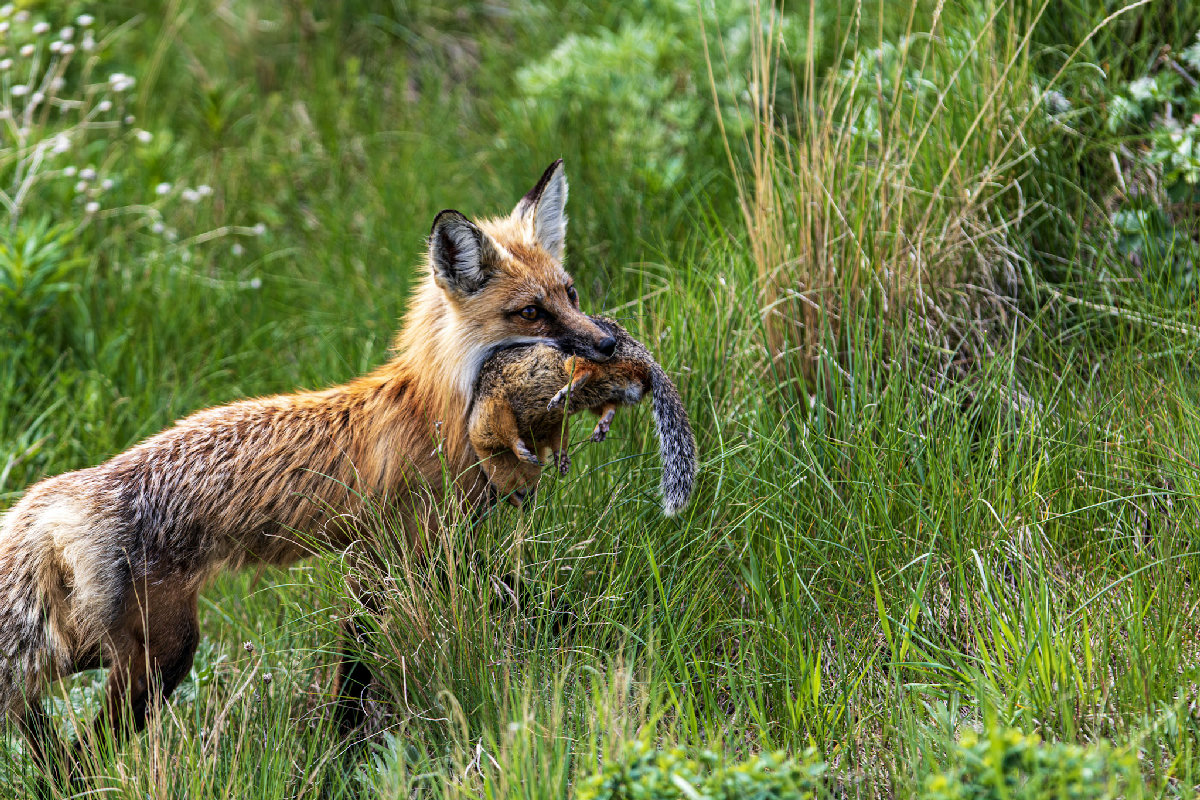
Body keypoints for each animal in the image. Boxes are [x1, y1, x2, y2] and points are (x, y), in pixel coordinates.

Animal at [0, 160, 618, 781]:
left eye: (570, 294)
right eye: (531, 312)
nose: (609, 343)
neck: (438, 411)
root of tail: (63, 493)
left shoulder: (433, 555)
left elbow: (531, 597)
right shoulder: (387, 559)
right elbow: (357, 670)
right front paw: (341, 755)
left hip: (105, 645)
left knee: (41, 711)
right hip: (160, 656)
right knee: (75, 746)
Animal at [469, 316, 697, 516]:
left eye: (499, 490)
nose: (526, 504)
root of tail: (645, 358)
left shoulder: (491, 410)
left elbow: (507, 432)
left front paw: (521, 451)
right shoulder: (552, 422)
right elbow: (558, 438)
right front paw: (561, 459)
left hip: (582, 360)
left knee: (586, 368)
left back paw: (570, 386)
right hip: (609, 391)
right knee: (609, 405)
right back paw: (602, 424)